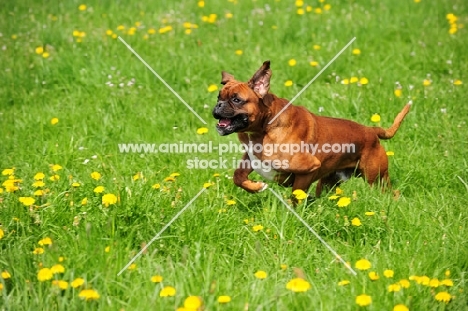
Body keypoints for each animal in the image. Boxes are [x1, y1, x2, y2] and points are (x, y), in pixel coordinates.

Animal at [212, 61, 410, 197]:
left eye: (236, 99)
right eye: (219, 97)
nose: (218, 106)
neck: (265, 127)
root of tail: (371, 131)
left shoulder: (309, 169)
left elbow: (295, 195)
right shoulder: (250, 158)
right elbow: (238, 176)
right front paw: (255, 187)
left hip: (376, 180)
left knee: (391, 193)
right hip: (329, 183)